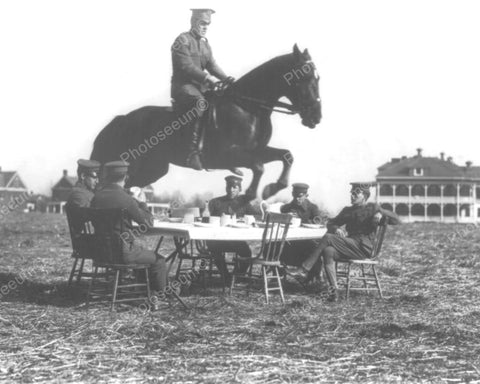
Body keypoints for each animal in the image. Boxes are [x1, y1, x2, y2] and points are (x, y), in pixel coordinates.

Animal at [91, 45, 322, 200]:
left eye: (317, 78)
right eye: (304, 77)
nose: (316, 117)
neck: (248, 107)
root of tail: (122, 120)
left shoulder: (256, 150)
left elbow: (286, 156)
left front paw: (272, 188)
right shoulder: (227, 155)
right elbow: (258, 167)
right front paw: (251, 194)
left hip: (154, 168)